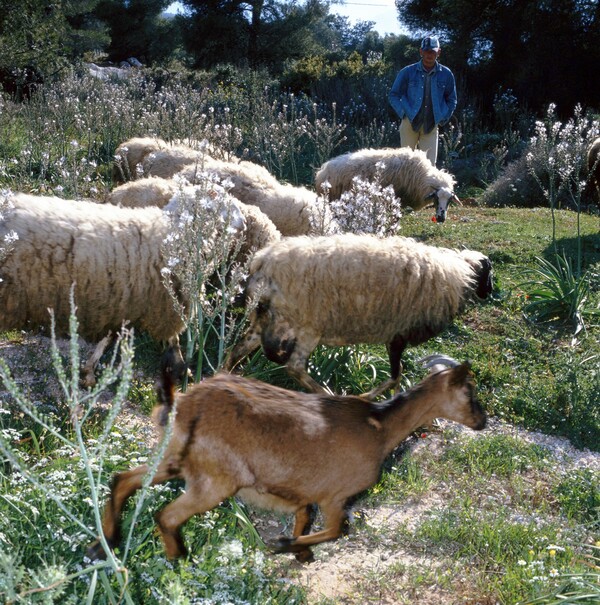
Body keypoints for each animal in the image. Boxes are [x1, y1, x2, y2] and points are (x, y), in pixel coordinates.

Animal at [85, 354, 488, 560]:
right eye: (470, 392)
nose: (482, 420)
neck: (379, 427)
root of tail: (182, 405)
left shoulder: (304, 493)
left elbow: (303, 520)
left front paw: (298, 553)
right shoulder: (335, 495)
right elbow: (336, 530)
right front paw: (283, 545)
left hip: (174, 459)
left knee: (123, 479)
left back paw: (103, 545)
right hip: (215, 480)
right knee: (165, 515)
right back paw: (178, 558)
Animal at [225, 231, 492, 396]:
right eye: (489, 272)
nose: (489, 292)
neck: (458, 275)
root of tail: (262, 261)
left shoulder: (395, 334)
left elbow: (397, 375)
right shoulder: (399, 333)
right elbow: (395, 375)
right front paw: (371, 398)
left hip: (264, 320)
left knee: (237, 349)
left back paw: (221, 379)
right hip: (307, 323)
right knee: (294, 367)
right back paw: (328, 394)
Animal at [314, 146, 460, 222]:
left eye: (449, 200)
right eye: (436, 197)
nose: (441, 219)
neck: (421, 176)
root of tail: (323, 170)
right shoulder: (397, 197)